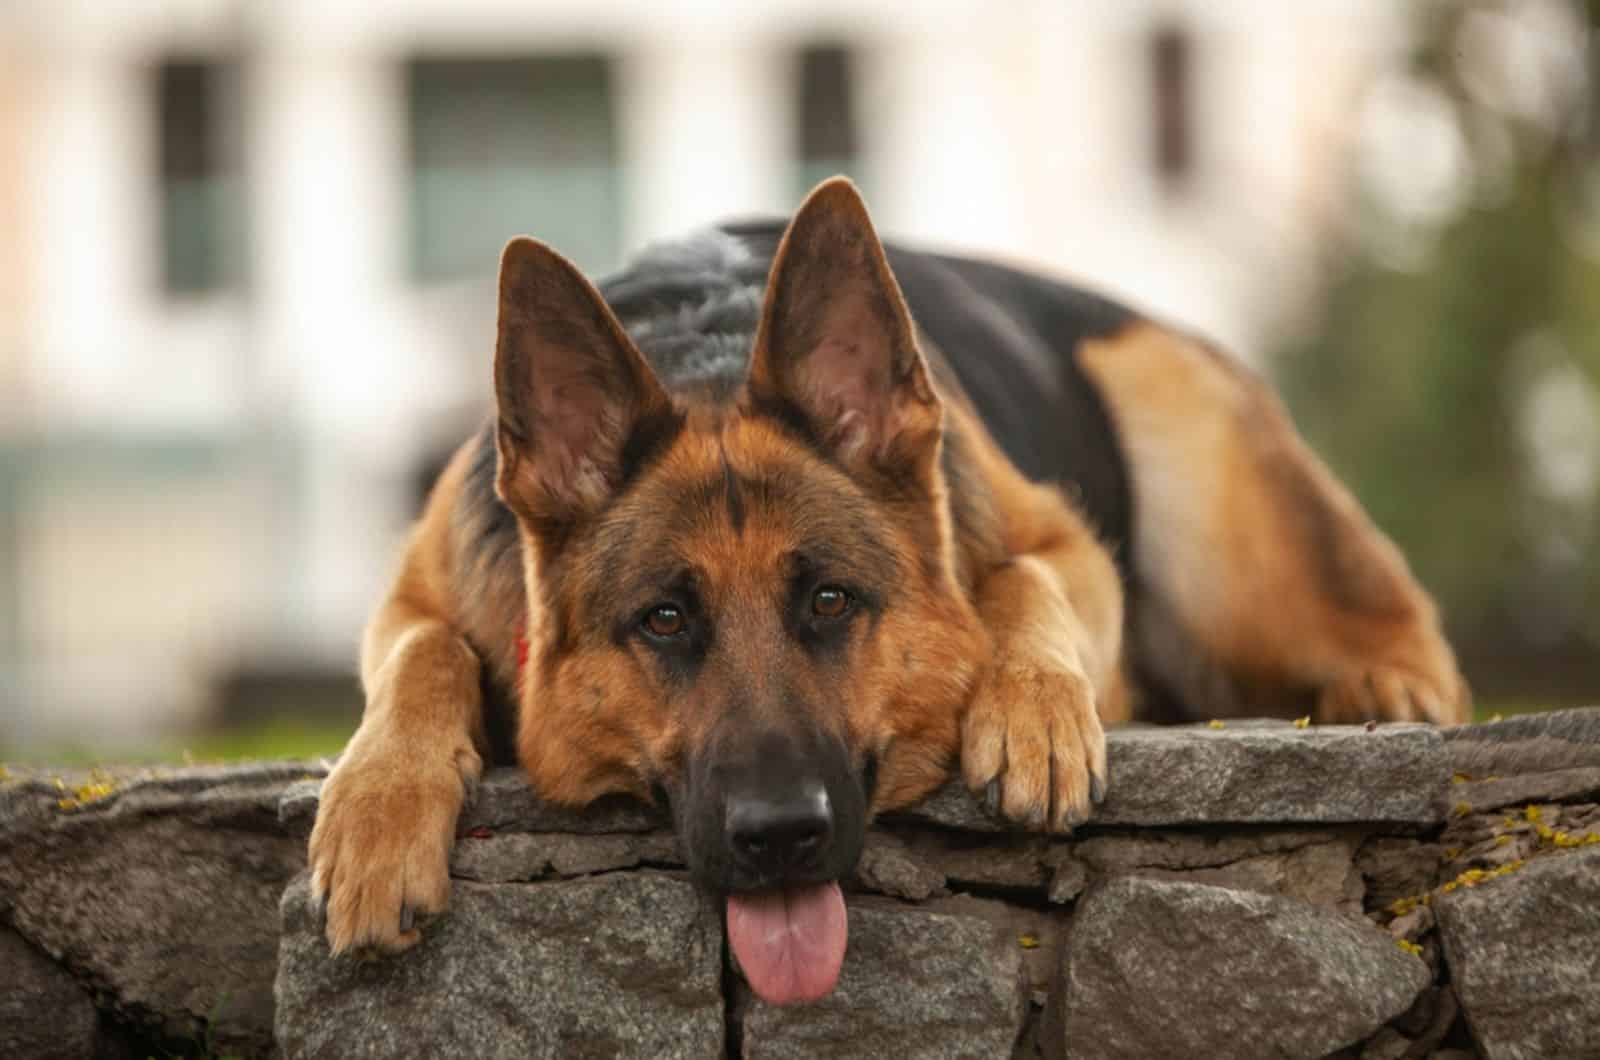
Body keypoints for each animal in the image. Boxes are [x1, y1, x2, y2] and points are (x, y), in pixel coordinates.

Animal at [305, 178, 1465, 1011]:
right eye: (665, 620)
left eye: (829, 601)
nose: (779, 835)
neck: (704, 356)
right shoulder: (407, 601)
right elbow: (424, 654)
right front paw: (376, 815)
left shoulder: (1061, 540)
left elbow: (1022, 580)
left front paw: (1034, 712)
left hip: (1201, 487)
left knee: (1404, 633)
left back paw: (1385, 686)